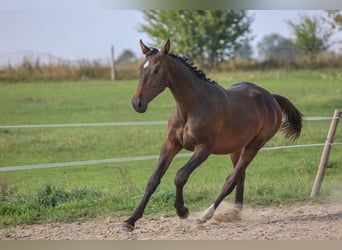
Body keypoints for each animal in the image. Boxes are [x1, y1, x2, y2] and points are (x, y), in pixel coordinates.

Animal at [121, 39, 304, 232]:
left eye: (156, 70)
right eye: (141, 69)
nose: (137, 103)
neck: (191, 108)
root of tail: (271, 98)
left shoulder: (204, 148)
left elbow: (180, 176)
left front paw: (182, 211)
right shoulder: (171, 144)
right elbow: (153, 181)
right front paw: (130, 221)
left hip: (254, 146)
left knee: (231, 180)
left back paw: (206, 215)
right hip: (236, 148)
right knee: (240, 176)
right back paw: (234, 213)